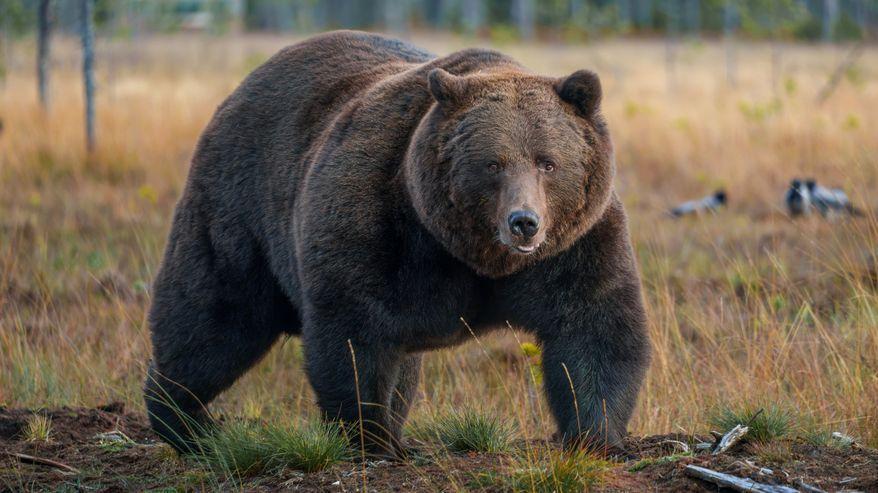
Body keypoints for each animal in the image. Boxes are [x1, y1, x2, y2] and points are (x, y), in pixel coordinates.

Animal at [144, 30, 650, 456]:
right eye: (493, 164)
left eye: (547, 162)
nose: (523, 223)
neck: (474, 254)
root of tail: (241, 88)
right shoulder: (379, 226)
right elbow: (355, 333)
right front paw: (370, 438)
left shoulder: (575, 246)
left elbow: (595, 328)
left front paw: (595, 435)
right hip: (241, 209)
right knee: (214, 320)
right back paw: (185, 421)